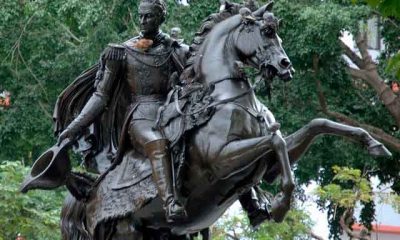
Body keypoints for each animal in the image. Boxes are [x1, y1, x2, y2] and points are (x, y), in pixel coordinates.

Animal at [56, 2, 390, 240]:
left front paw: (372, 143)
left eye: (276, 30)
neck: (227, 98)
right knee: (156, 147)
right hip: (128, 231)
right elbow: (275, 139)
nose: (286, 66)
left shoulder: (266, 165)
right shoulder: (222, 160)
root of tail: (88, 196)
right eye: (266, 32)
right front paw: (281, 204)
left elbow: (315, 124)